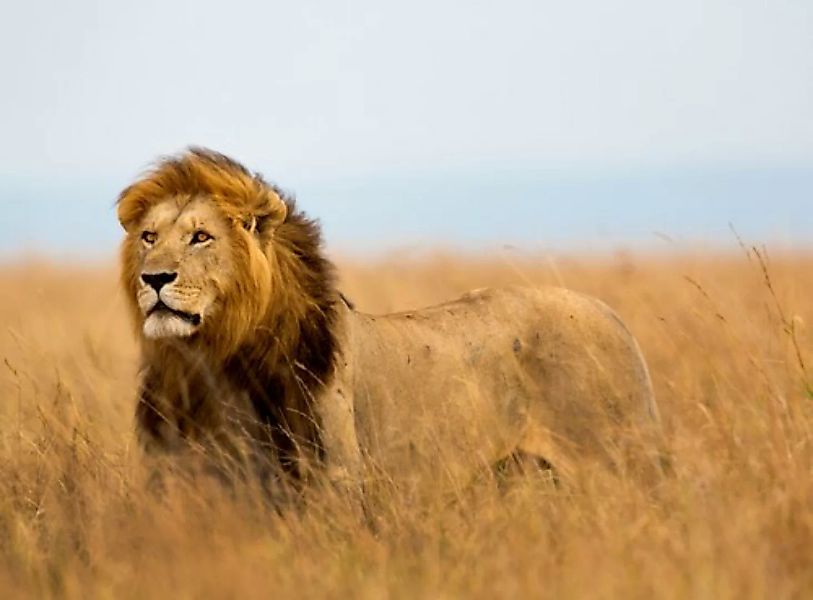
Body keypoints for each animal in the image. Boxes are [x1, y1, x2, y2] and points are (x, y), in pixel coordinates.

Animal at [117, 146, 664, 496]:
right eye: (148, 237)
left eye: (201, 237)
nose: (154, 278)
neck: (214, 359)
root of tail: (611, 314)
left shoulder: (333, 481)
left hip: (619, 466)